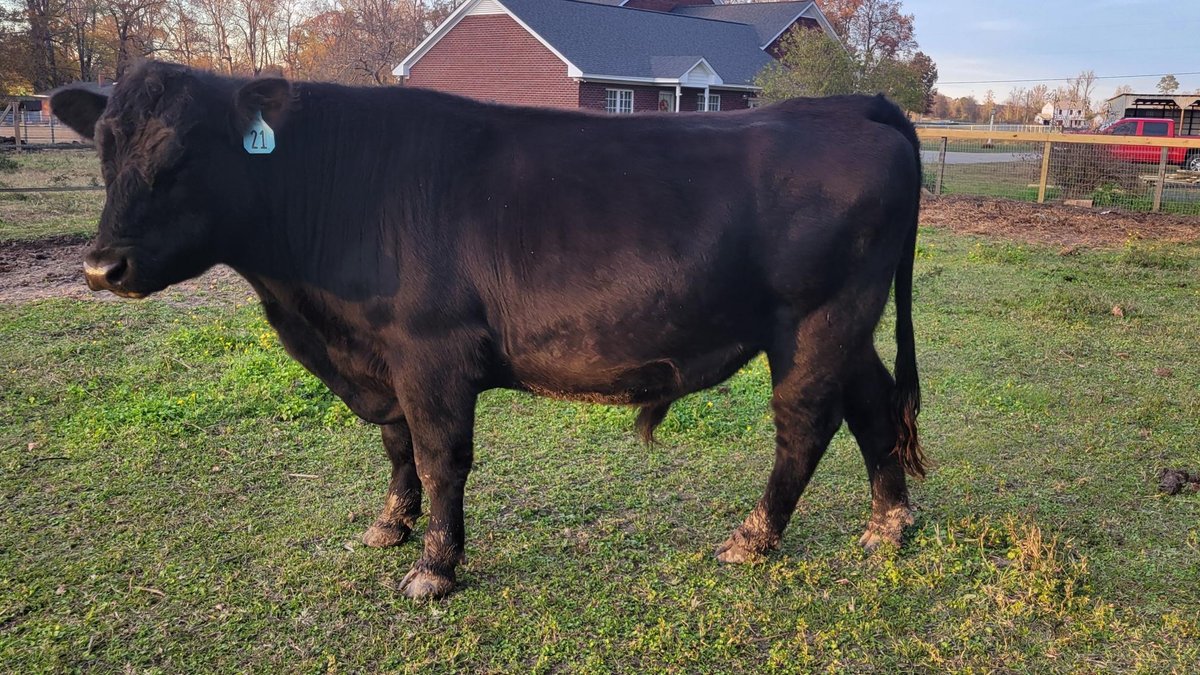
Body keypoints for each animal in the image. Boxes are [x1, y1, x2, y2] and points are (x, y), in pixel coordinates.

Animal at [51, 61, 925, 599]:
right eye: (104, 148)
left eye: (186, 150)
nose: (101, 266)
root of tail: (850, 105)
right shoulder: (381, 355)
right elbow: (397, 444)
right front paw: (390, 525)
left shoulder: (430, 350)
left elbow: (440, 456)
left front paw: (435, 565)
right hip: (849, 324)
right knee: (874, 404)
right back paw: (888, 523)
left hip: (817, 317)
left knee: (804, 424)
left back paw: (754, 536)